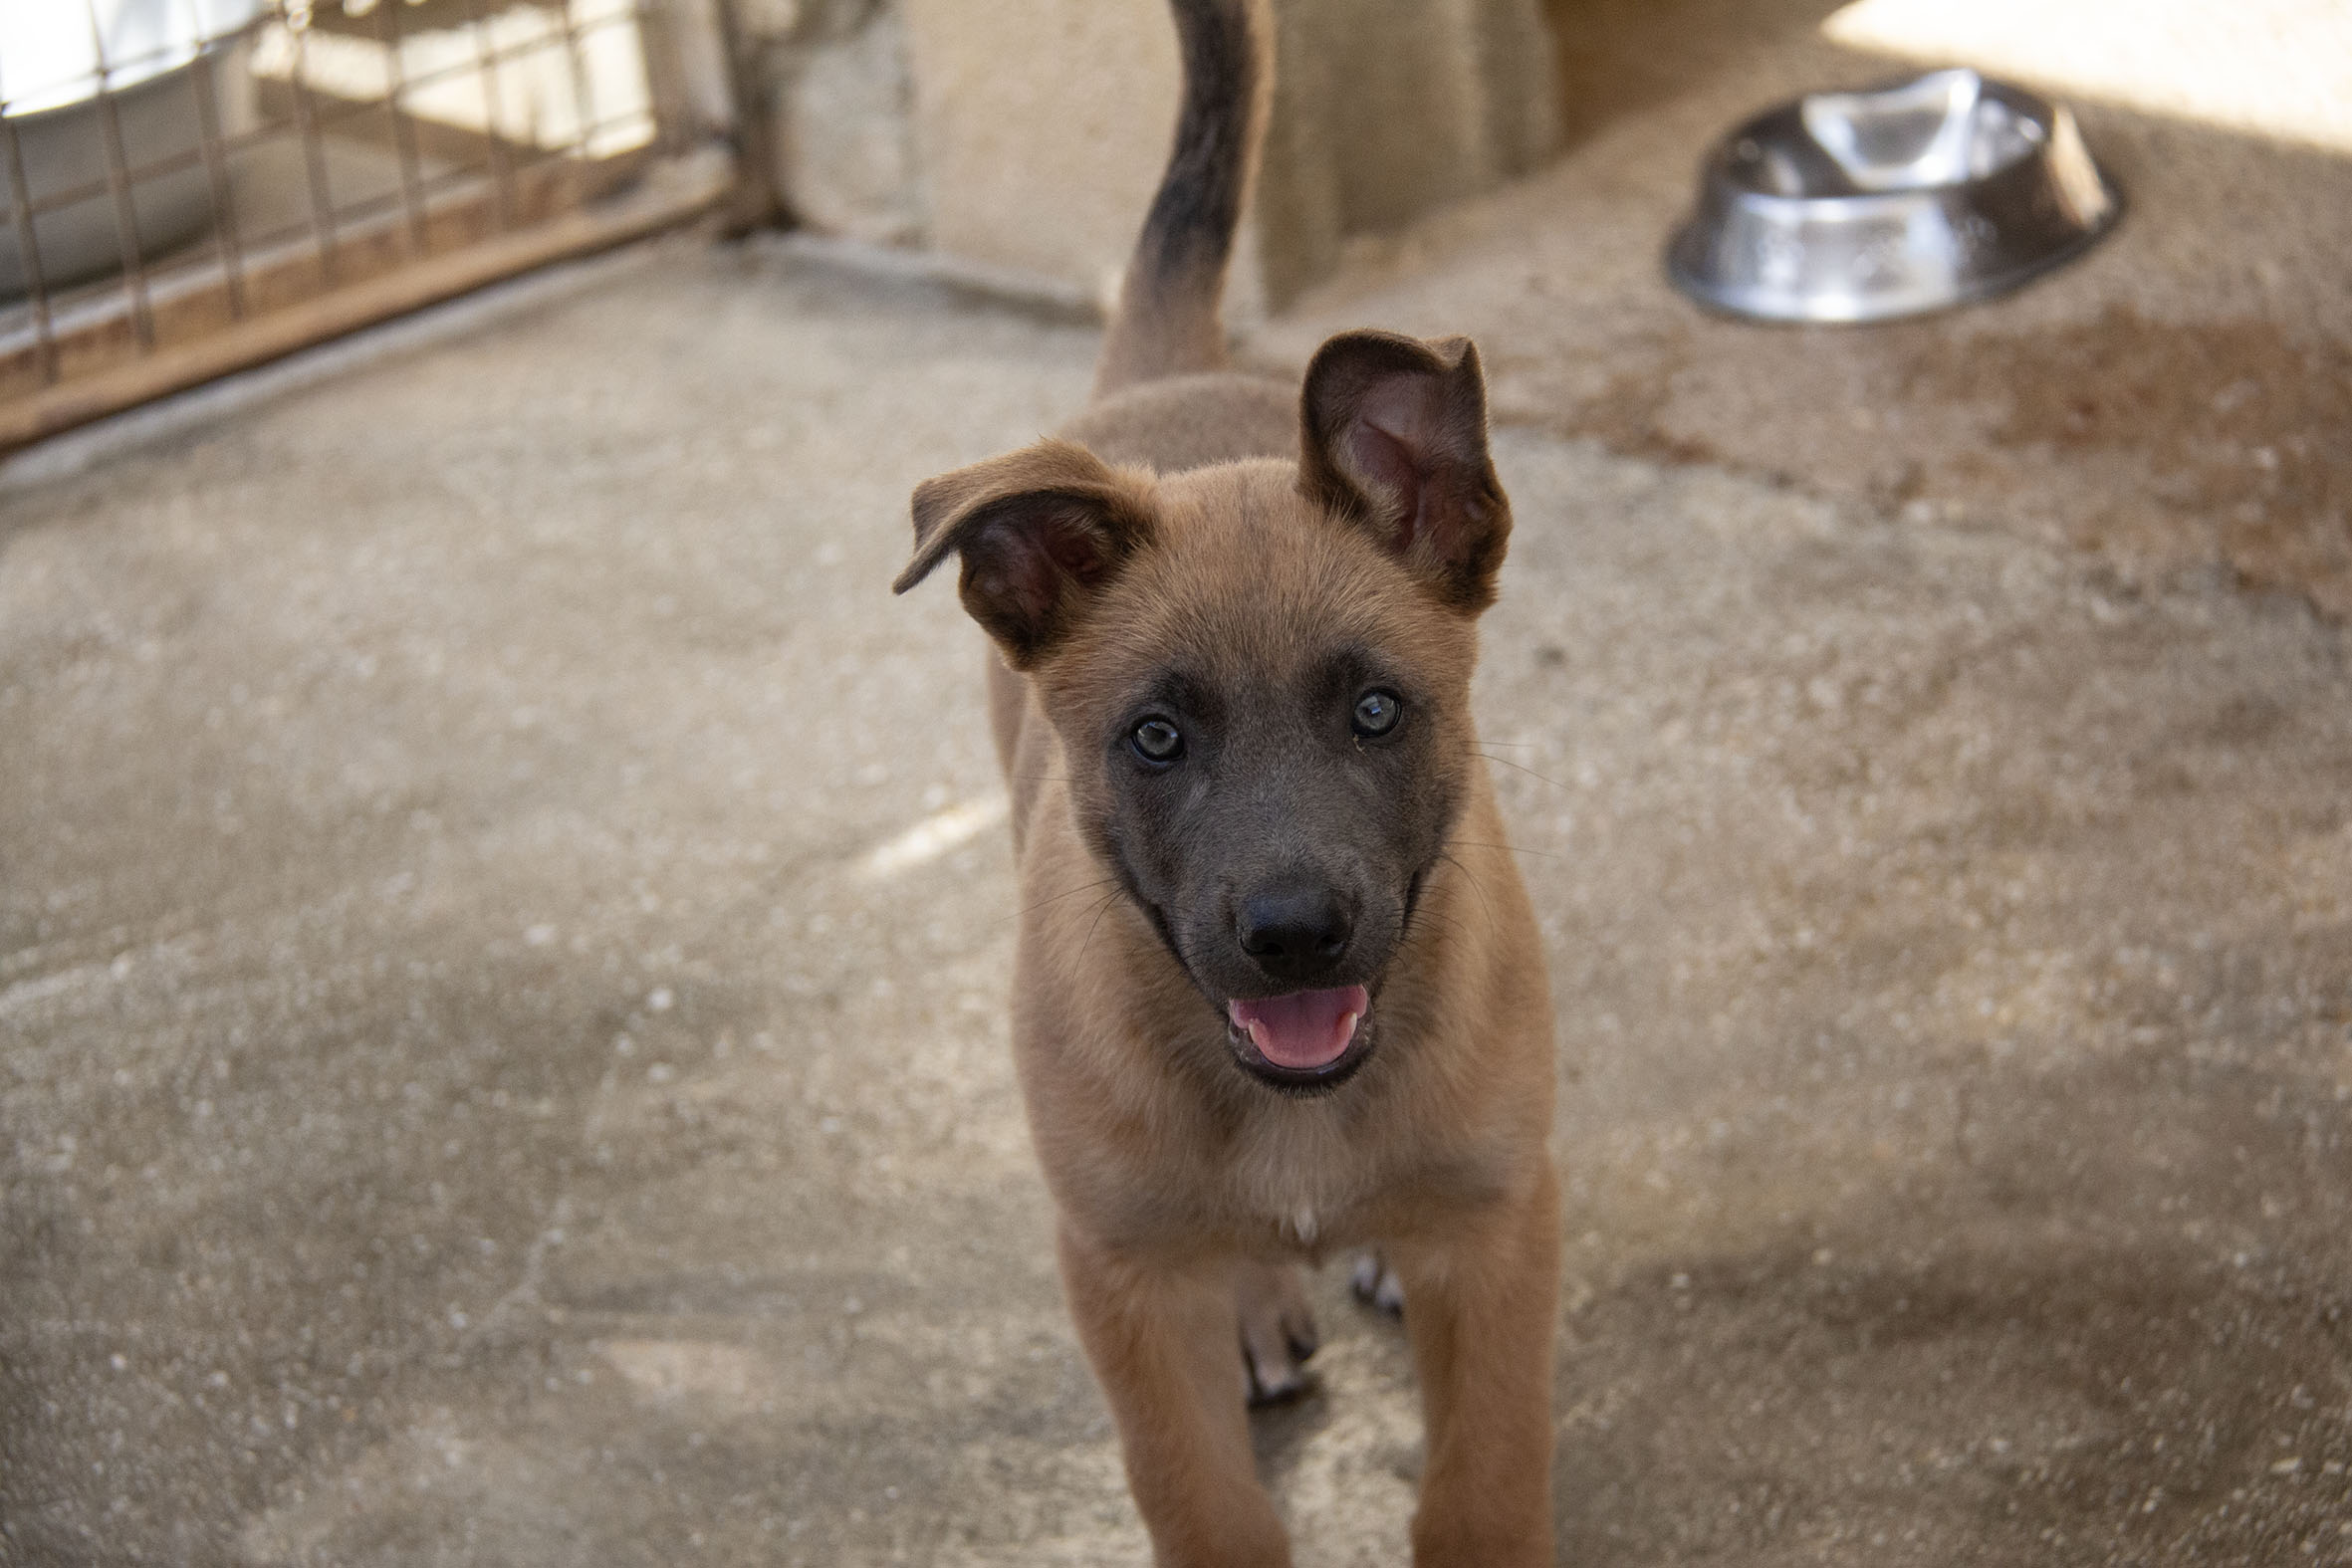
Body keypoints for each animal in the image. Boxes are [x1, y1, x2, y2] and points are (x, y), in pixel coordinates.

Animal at [891, 1, 1559, 1561]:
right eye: (1154, 738)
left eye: (1377, 709)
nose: (1295, 936)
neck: (1297, 1115)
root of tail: (1164, 376)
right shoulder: (1119, 1276)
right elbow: (1204, 1502)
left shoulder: (1505, 1233)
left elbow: (1483, 1487)